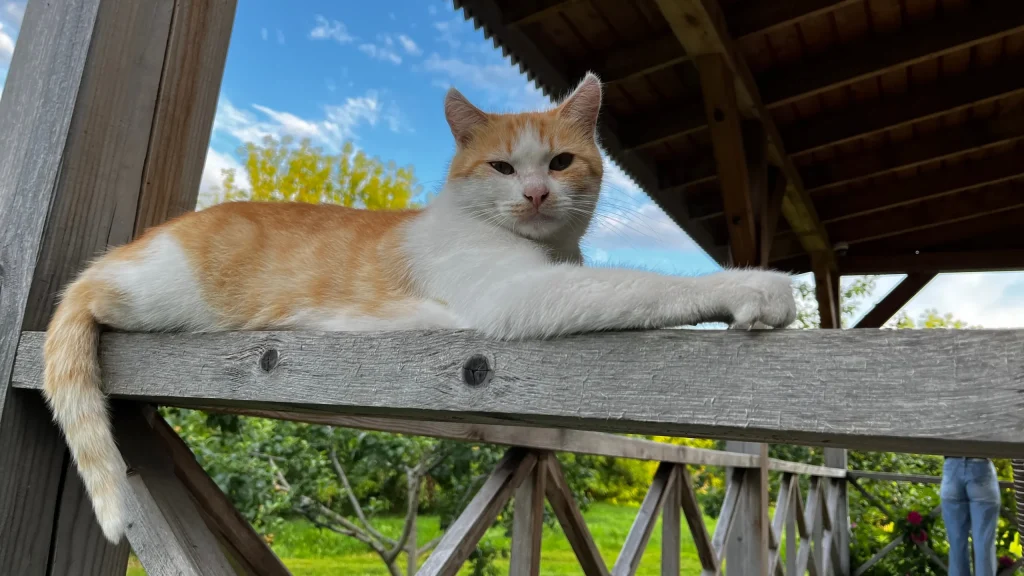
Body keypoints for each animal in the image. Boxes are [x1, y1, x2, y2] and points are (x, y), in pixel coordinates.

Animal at [41, 69, 798, 541]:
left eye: (559, 162)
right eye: (502, 167)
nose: (535, 194)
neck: (548, 251)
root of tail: (133, 246)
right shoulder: (522, 295)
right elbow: (646, 284)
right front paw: (752, 286)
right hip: (151, 291)